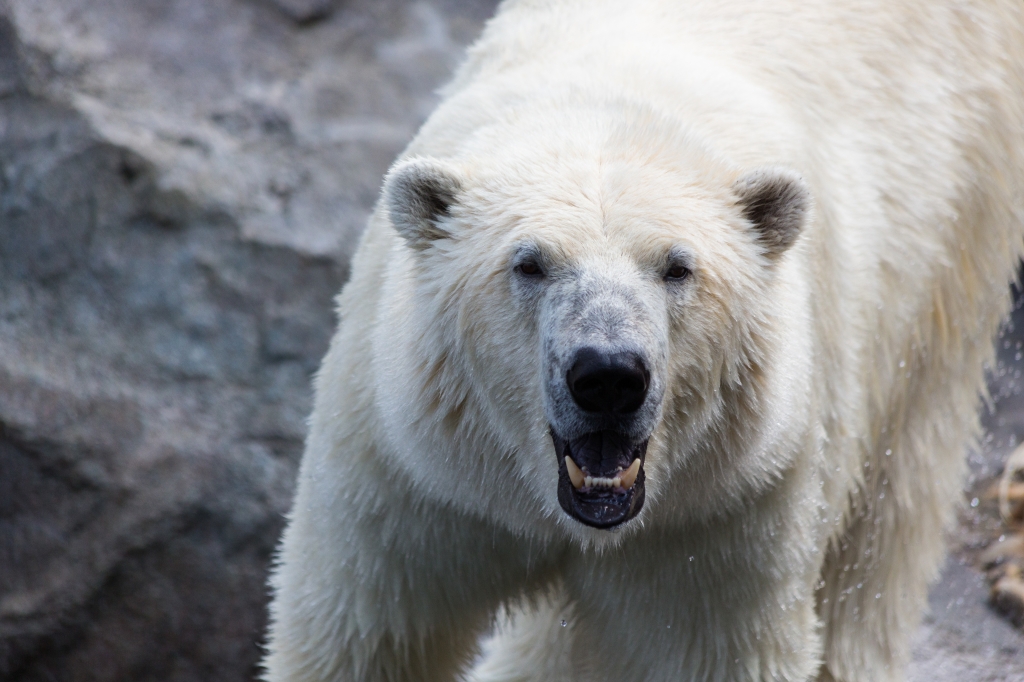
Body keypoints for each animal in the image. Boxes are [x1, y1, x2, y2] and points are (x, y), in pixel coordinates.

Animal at [263, 1, 1024, 680]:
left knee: (886, 522)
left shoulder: (720, 513)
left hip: (952, 244)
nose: (607, 376)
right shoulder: (417, 475)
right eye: (529, 263)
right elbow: (365, 632)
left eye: (677, 266)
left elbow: (707, 650)